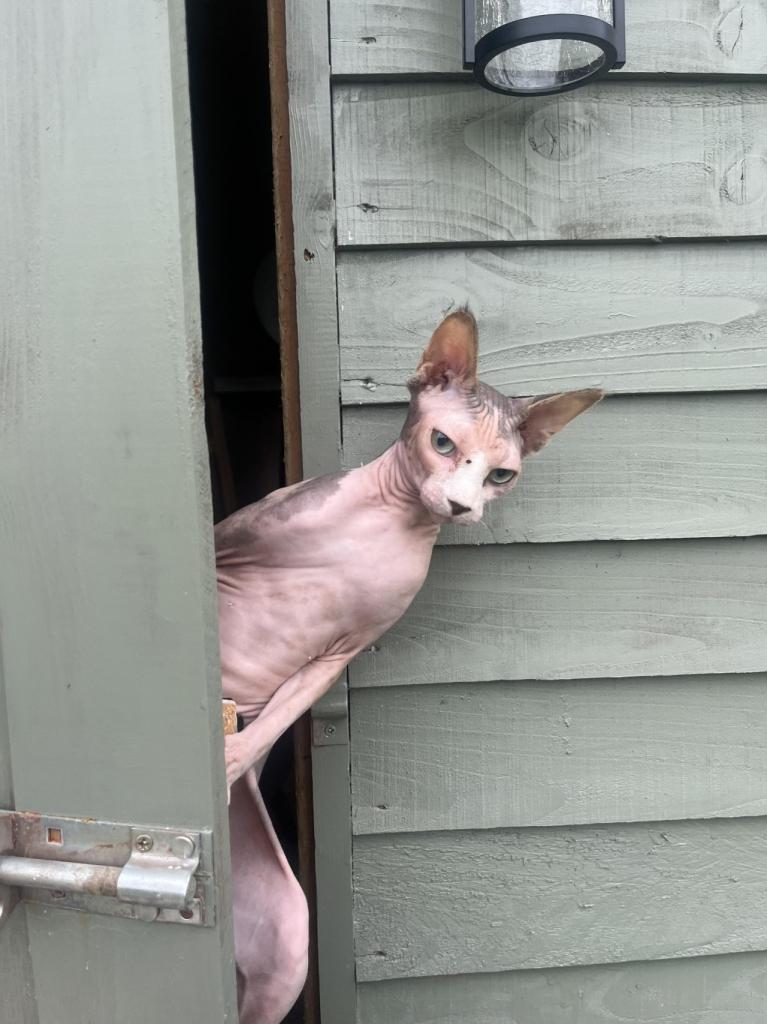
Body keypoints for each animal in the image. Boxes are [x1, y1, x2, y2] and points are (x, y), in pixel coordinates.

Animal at [215, 311, 606, 1024]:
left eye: (501, 475)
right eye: (442, 443)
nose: (460, 507)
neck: (386, 521)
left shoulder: (341, 651)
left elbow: (280, 716)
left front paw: (230, 759)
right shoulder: (231, 538)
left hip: (285, 930)